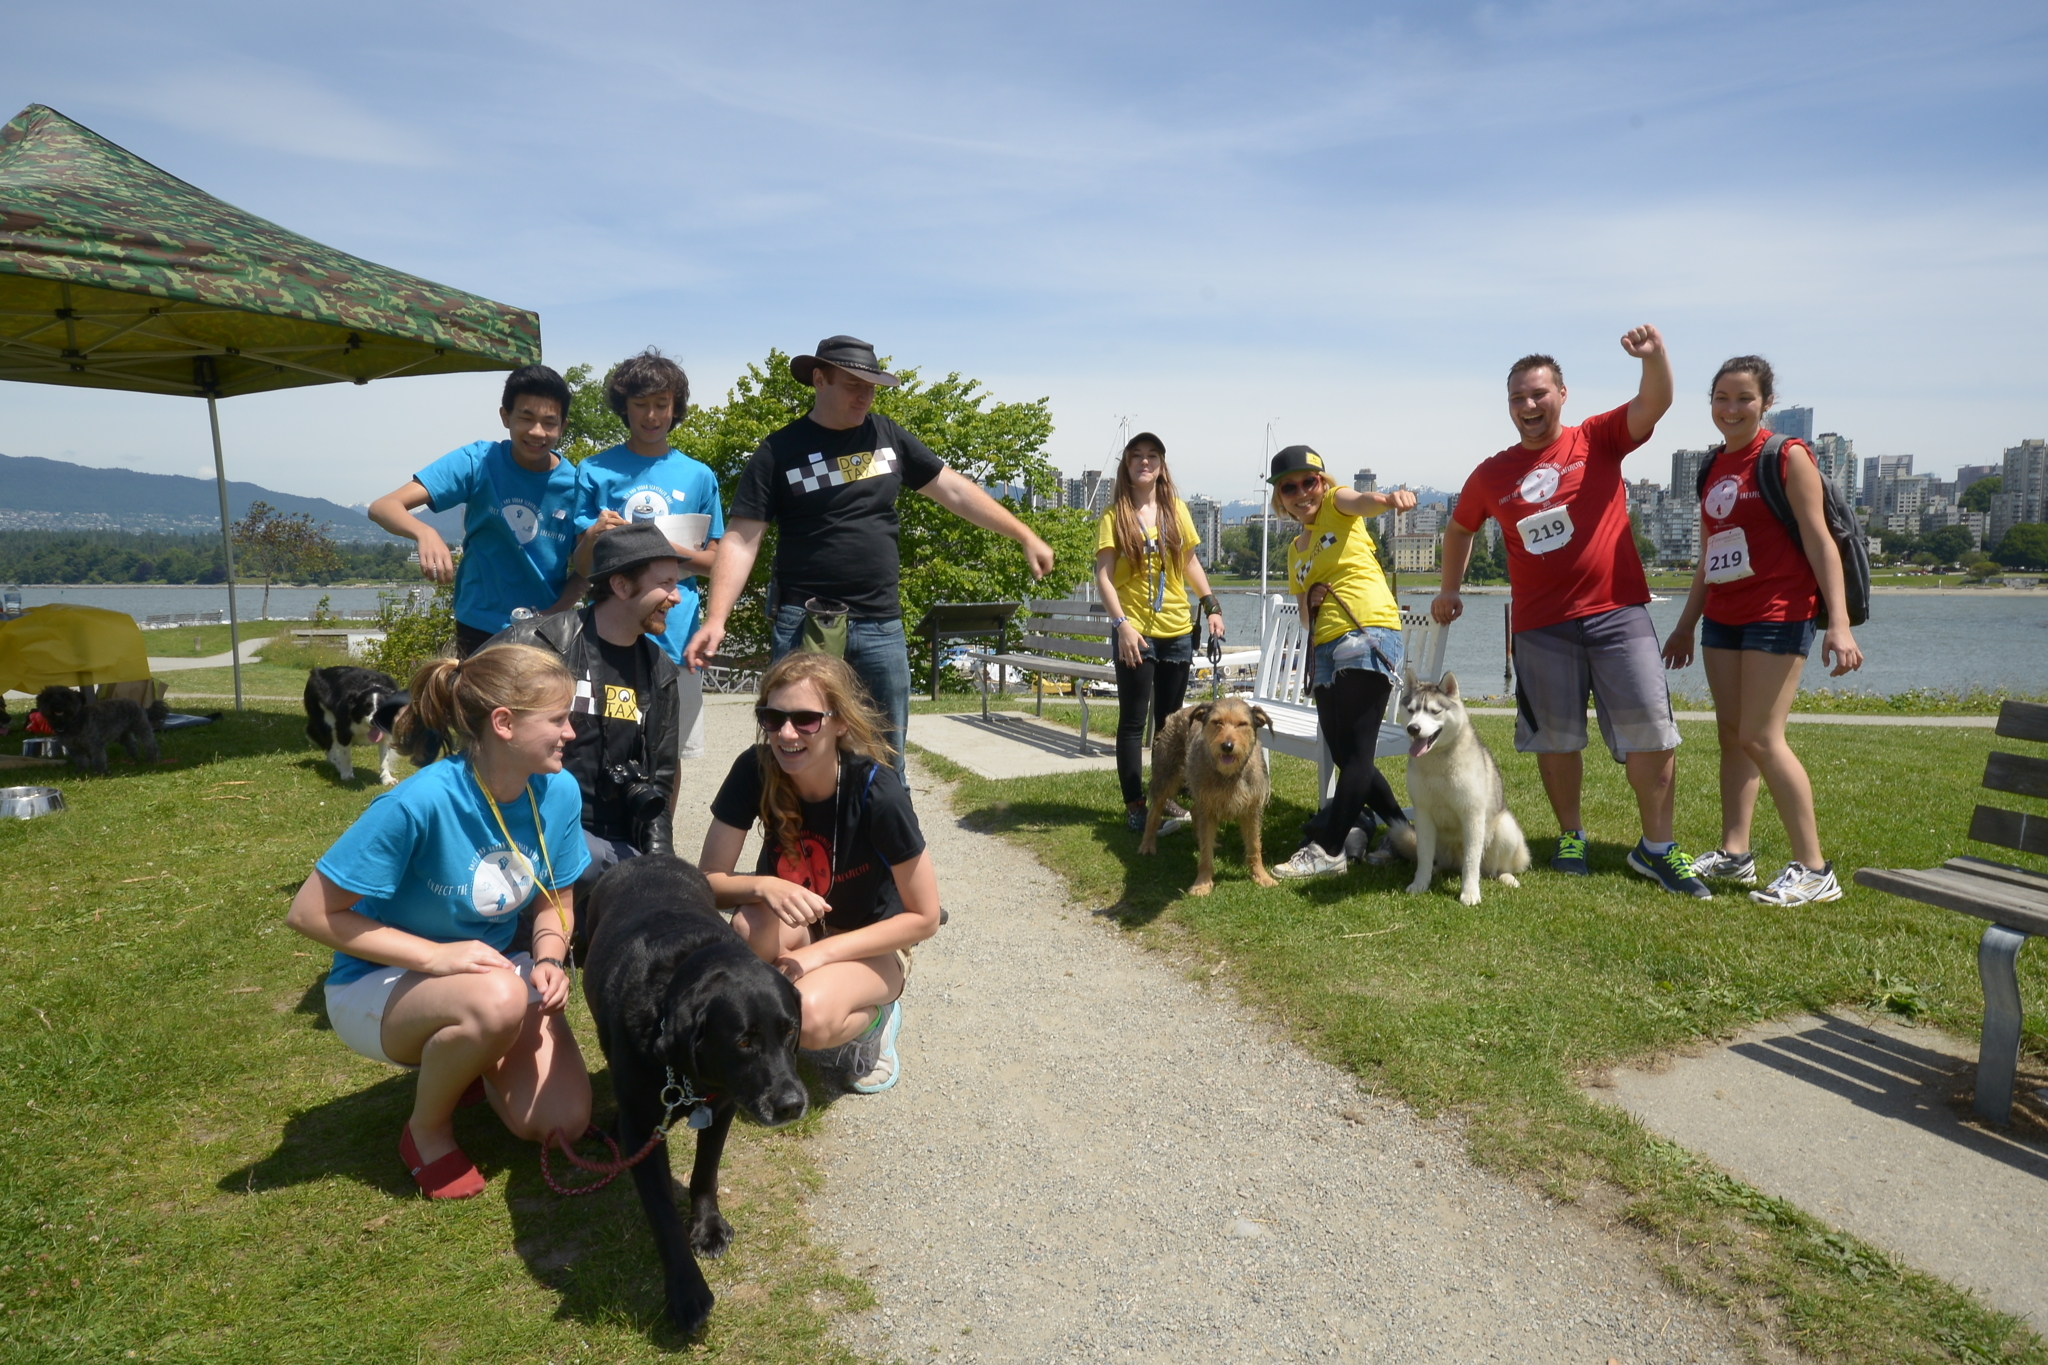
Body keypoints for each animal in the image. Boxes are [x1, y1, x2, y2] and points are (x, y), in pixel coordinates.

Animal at [585, 855, 806, 1334]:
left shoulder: (722, 1106)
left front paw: (708, 1227)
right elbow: (662, 1215)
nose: (792, 1105)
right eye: (743, 1041)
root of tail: (647, 856)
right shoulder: (643, 1129)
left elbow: (706, 1171)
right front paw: (687, 1292)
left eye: (790, 1030)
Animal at [1138, 703, 1277, 896]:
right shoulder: (1208, 808)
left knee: (1194, 812)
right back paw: (1147, 844)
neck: (1229, 775)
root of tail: (1180, 711)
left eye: (1242, 724)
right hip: (1166, 775)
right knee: (1154, 812)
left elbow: (1255, 845)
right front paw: (1202, 883)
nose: (1227, 746)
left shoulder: (1252, 809)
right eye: (1217, 722)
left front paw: (1260, 876)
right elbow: (1205, 853)